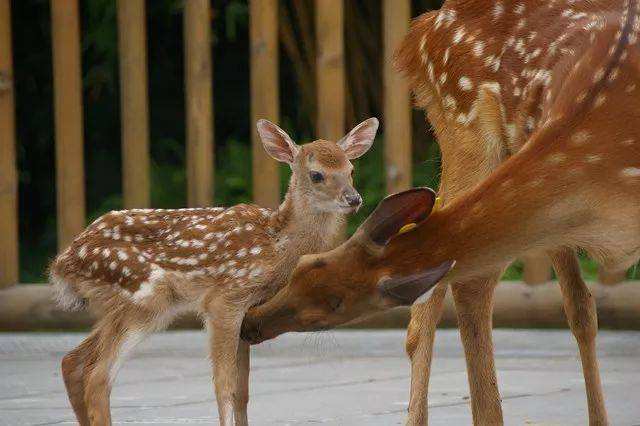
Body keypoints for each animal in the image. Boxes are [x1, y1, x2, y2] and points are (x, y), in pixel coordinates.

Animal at [242, 1, 636, 424]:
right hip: (468, 136)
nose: (250, 323)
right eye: (299, 269)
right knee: (468, 288)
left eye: (332, 303)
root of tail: (421, 32)